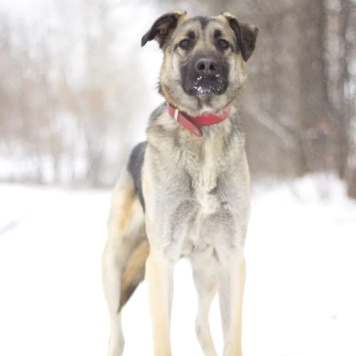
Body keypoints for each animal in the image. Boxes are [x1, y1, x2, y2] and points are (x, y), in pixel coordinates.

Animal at [101, 11, 258, 356]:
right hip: (114, 261)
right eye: (185, 43)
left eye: (223, 44)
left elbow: (233, 336)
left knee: (200, 324)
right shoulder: (161, 261)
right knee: (116, 331)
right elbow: (162, 337)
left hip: (207, 268)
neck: (202, 127)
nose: (206, 66)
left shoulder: (231, 258)